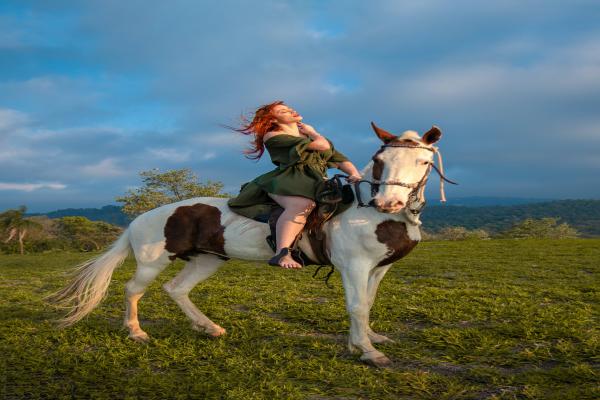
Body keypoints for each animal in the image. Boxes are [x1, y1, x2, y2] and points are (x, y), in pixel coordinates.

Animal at [49, 122, 454, 368]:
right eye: (379, 159)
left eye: (423, 161)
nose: (389, 202)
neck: (369, 214)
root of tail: (139, 219)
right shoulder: (353, 266)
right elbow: (356, 306)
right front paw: (366, 351)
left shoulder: (378, 268)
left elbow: (367, 304)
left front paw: (371, 338)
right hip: (152, 260)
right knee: (134, 289)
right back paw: (136, 332)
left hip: (208, 260)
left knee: (177, 289)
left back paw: (209, 328)